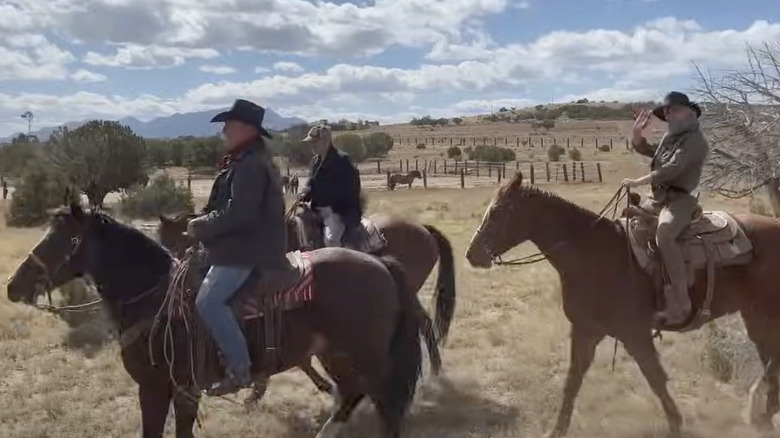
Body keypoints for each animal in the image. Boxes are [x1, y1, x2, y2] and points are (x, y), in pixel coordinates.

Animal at [4, 204, 438, 436]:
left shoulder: (166, 388)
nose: (13, 286)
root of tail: (380, 263)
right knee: (350, 393)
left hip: (369, 358)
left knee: (385, 406)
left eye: (62, 239)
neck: (154, 298)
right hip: (336, 353)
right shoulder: (173, 391)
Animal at [466, 173, 780, 436]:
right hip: (754, 314)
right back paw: (764, 415)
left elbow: (655, 378)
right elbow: (572, 381)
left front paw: (676, 424)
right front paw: (556, 430)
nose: (472, 254)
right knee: (769, 357)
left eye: (497, 212)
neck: (594, 252)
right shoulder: (585, 331)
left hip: (765, 313)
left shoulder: (634, 335)